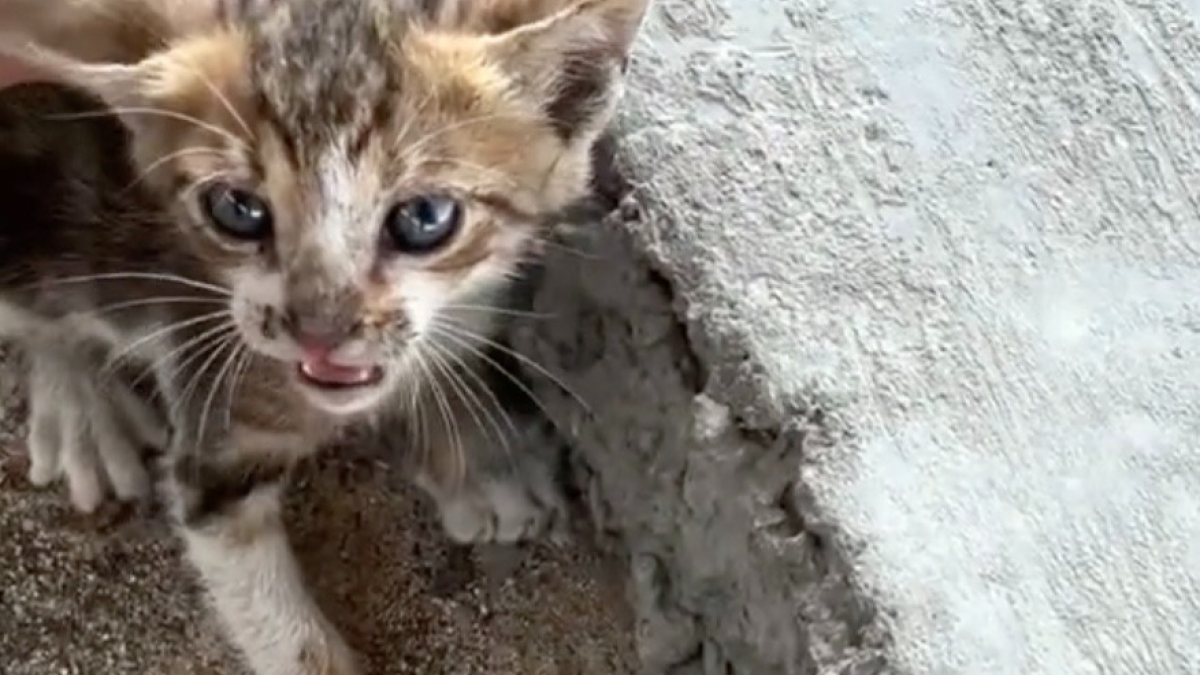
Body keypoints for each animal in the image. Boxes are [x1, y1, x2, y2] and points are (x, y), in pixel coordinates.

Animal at [0, 0, 648, 667]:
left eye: (425, 218)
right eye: (237, 209)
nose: (317, 331)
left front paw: (478, 449)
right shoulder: (216, 406)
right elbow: (260, 591)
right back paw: (80, 407)